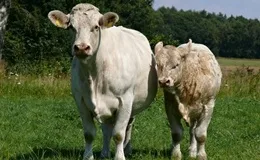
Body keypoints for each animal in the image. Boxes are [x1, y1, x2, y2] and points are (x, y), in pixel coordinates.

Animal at [47, 2, 157, 160]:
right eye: (71, 27)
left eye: (96, 27)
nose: (81, 48)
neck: (94, 74)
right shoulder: (81, 101)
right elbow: (89, 133)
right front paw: (88, 156)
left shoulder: (125, 101)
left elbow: (119, 134)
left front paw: (120, 156)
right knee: (106, 129)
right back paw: (105, 153)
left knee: (128, 126)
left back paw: (127, 149)